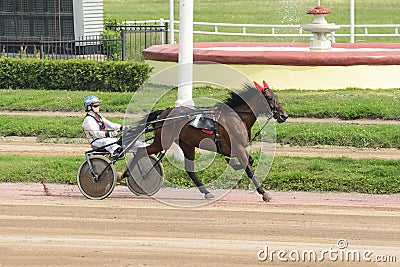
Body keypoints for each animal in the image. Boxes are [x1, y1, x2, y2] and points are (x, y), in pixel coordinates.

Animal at [128, 81, 288, 203]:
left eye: (276, 96)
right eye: (269, 97)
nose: (284, 115)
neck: (237, 118)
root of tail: (164, 112)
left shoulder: (236, 148)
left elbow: (250, 161)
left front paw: (233, 163)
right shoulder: (238, 147)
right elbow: (249, 169)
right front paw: (264, 193)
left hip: (186, 145)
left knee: (189, 170)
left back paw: (206, 192)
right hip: (163, 142)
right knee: (141, 151)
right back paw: (132, 175)